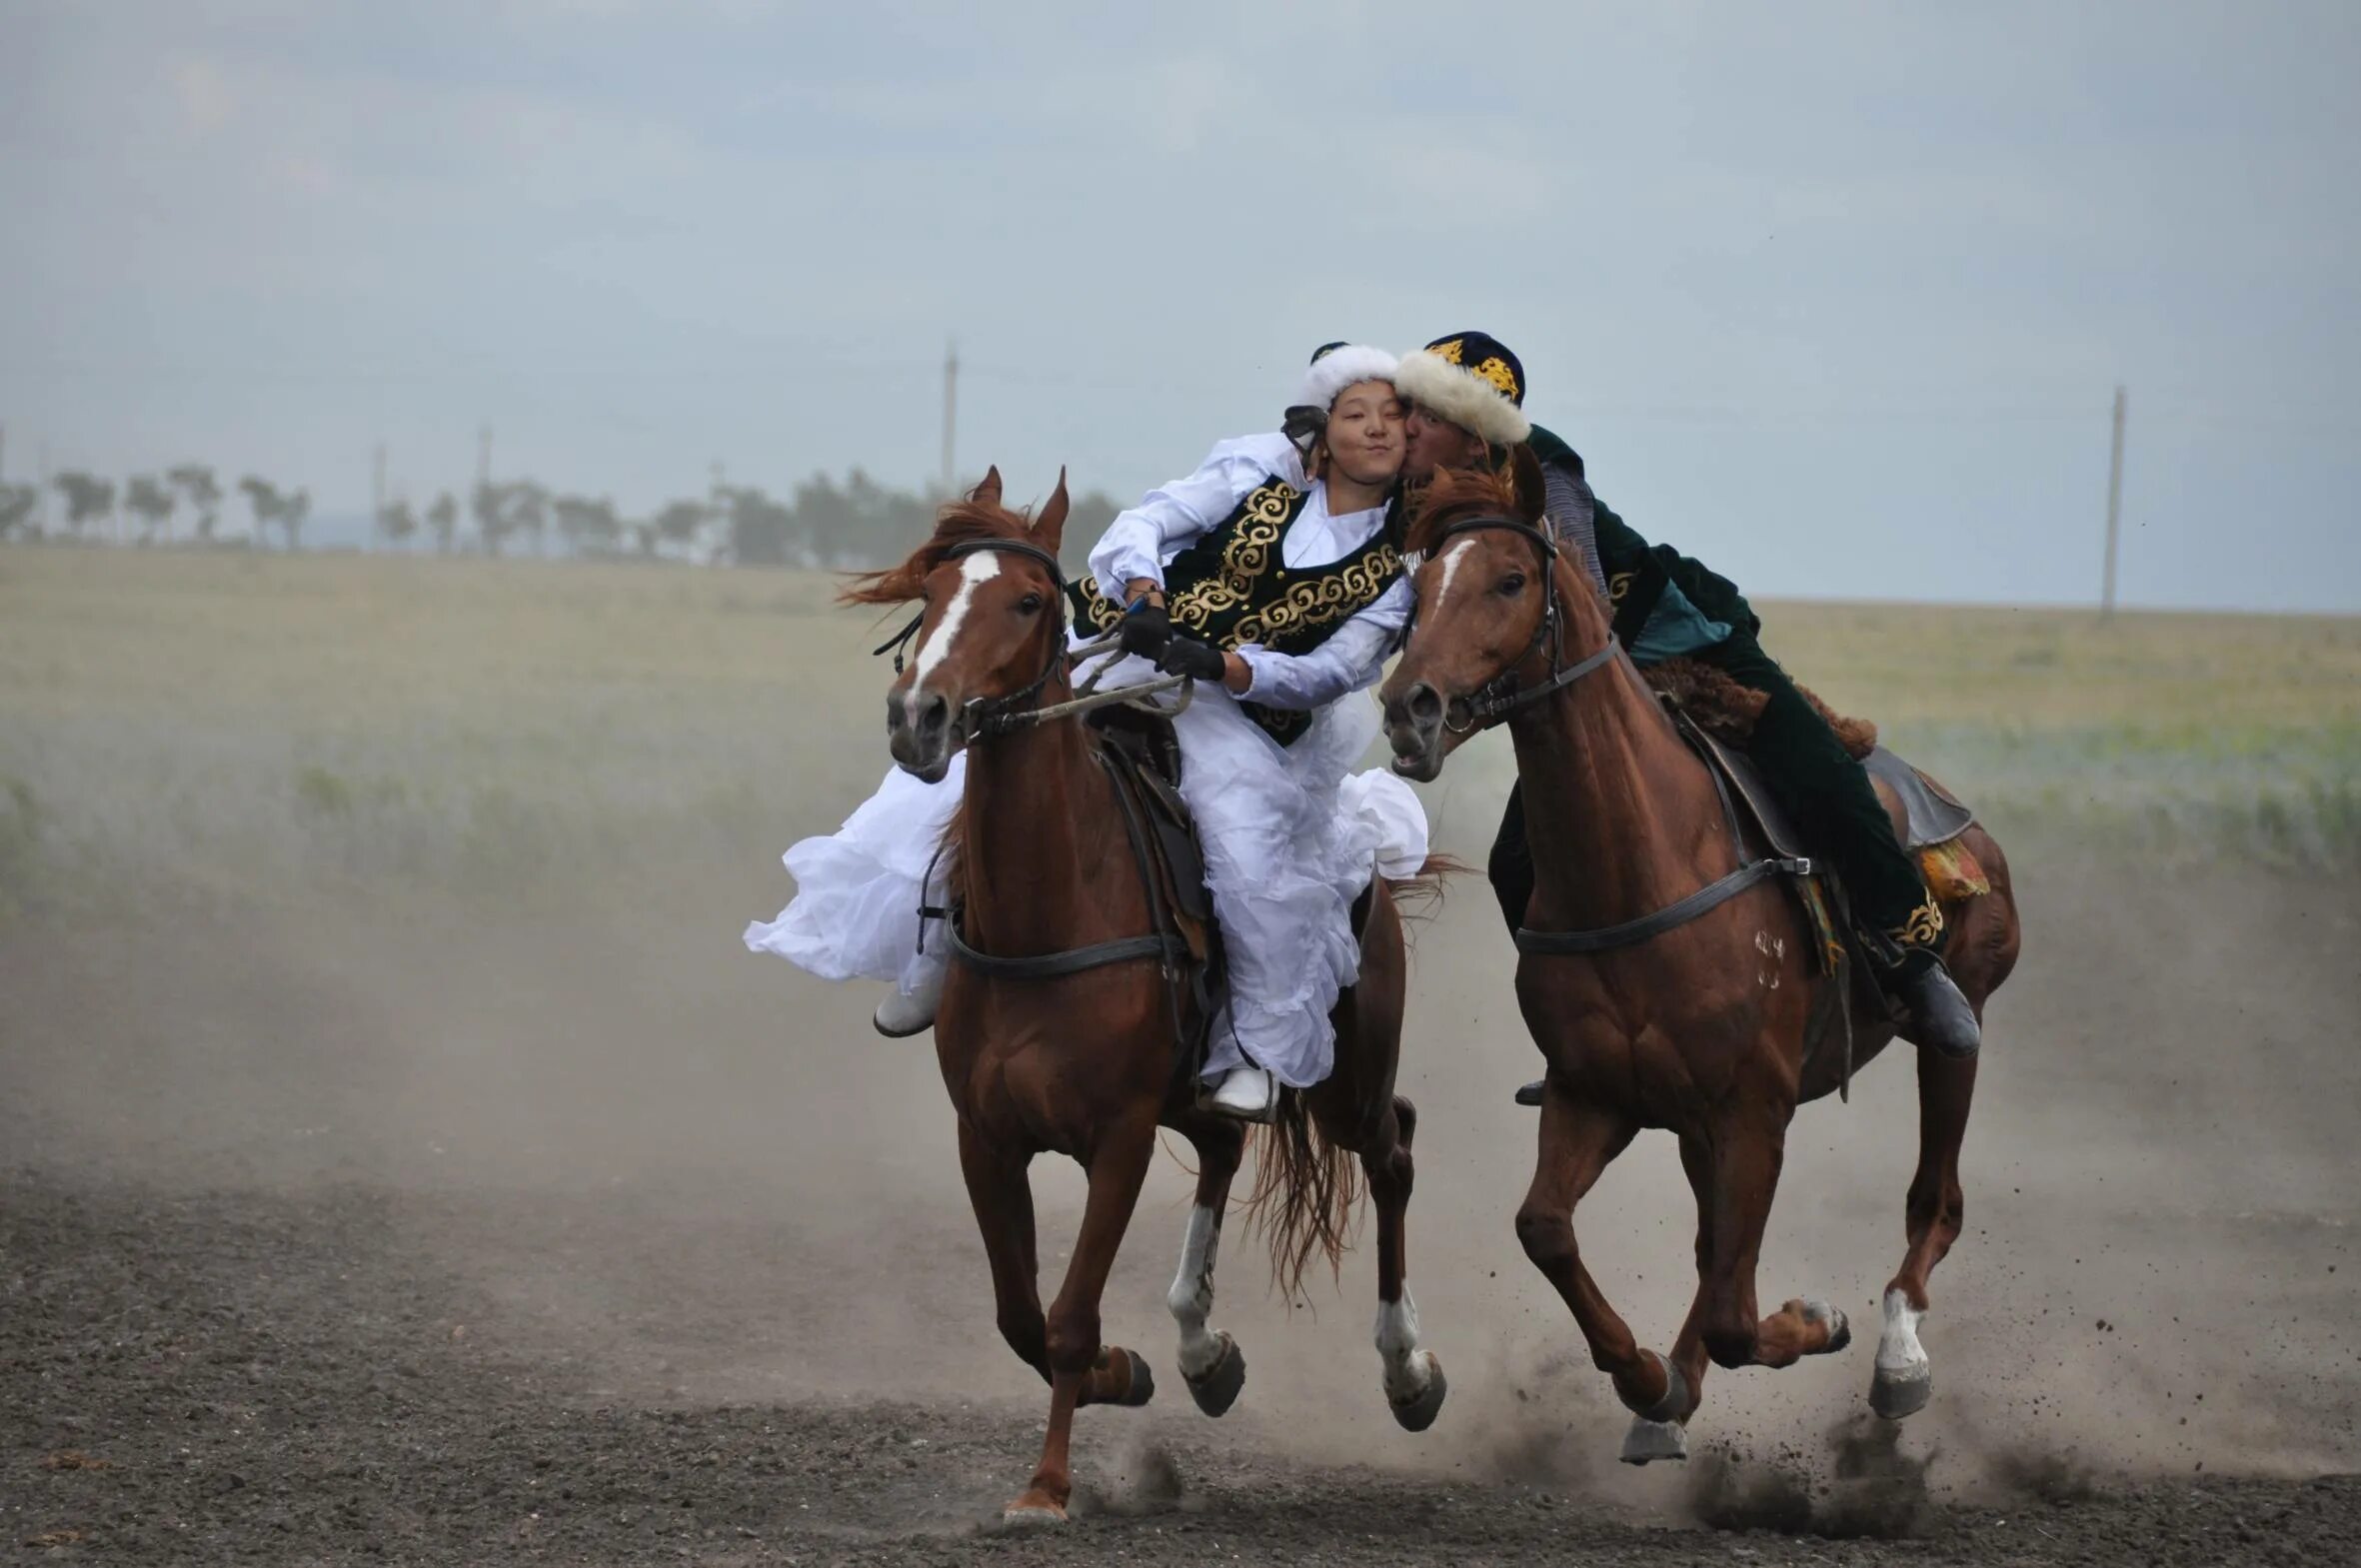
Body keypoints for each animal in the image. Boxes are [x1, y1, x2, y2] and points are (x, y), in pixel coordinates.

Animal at [850, 472, 1435, 1520]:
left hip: (1349, 1083)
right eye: (935, 588)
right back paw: (1204, 1351)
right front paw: (1129, 1372)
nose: (918, 715)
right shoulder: (985, 1136)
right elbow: (1020, 1315)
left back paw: (1408, 1371)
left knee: (1393, 1149)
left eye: (1027, 601)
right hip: (1200, 1090)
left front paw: (1047, 1486)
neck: (1050, 912)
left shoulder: (1116, 1137)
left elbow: (1069, 1317)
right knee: (1227, 1145)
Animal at [1378, 456, 2020, 1473]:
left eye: (1509, 580)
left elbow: (1735, 1311)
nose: (1411, 708)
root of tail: (1954, 813)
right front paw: (1651, 1380)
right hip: (1688, 1124)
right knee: (1714, 1250)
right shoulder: (1597, 1094)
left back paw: (1897, 1356)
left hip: (1960, 1032)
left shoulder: (1753, 1111)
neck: (1642, 865)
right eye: (1419, 581)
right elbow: (1547, 1230)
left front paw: (1818, 1320)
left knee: (1936, 1199)